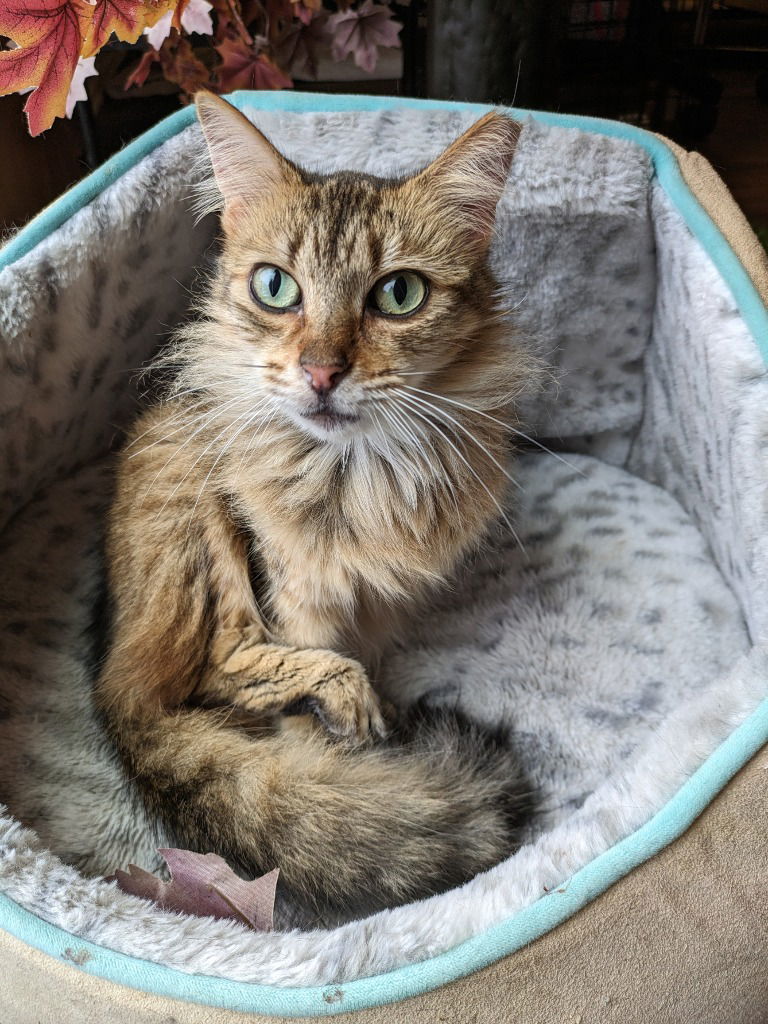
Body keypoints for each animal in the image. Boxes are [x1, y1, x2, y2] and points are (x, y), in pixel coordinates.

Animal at [94, 94, 536, 921]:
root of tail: (110, 695)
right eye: (276, 287)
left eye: (399, 294)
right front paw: (349, 742)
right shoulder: (296, 591)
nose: (322, 372)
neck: (353, 477)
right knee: (218, 673)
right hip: (191, 508)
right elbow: (300, 693)